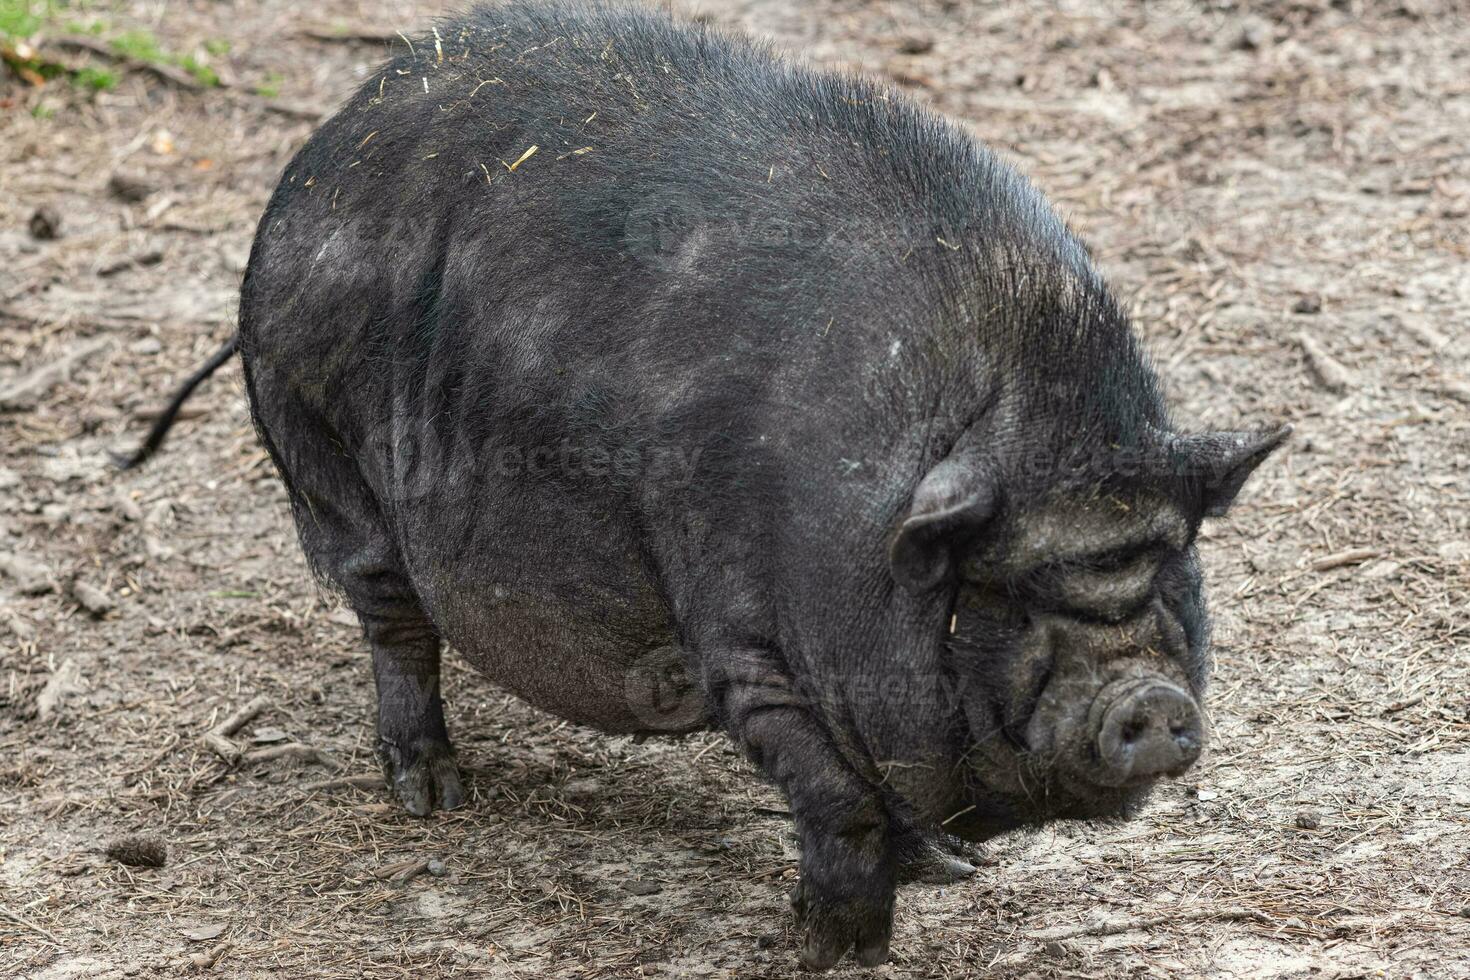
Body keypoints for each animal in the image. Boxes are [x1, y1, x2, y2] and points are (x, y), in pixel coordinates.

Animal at [132, 0, 1293, 963]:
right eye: (1000, 591)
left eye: (1167, 563)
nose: (1150, 697)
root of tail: (310, 160)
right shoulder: (743, 643)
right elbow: (839, 799)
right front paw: (825, 950)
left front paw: (954, 870)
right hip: (327, 456)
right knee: (394, 622)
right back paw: (435, 795)